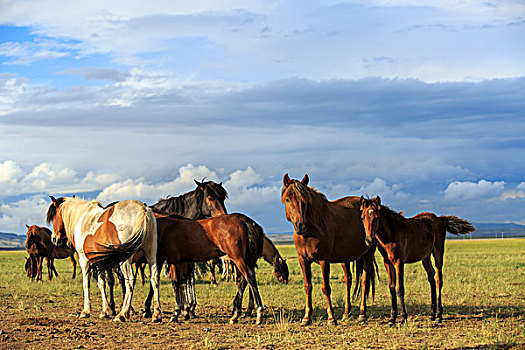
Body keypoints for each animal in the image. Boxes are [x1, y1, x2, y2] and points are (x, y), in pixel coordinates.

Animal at [280, 174, 374, 326]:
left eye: (305, 200)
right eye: (288, 199)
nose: (300, 226)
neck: (311, 232)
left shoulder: (324, 261)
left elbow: (326, 288)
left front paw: (331, 318)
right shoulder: (303, 261)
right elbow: (307, 286)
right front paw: (306, 317)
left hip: (368, 255)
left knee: (364, 281)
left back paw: (362, 314)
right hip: (345, 258)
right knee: (348, 279)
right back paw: (346, 313)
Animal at [360, 197, 474, 326]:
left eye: (377, 217)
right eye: (363, 217)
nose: (369, 240)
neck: (391, 233)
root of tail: (440, 218)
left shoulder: (399, 262)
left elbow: (400, 289)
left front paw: (403, 318)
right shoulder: (387, 262)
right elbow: (391, 288)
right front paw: (392, 319)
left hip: (438, 252)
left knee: (438, 279)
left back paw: (439, 316)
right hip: (425, 257)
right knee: (431, 278)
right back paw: (431, 315)